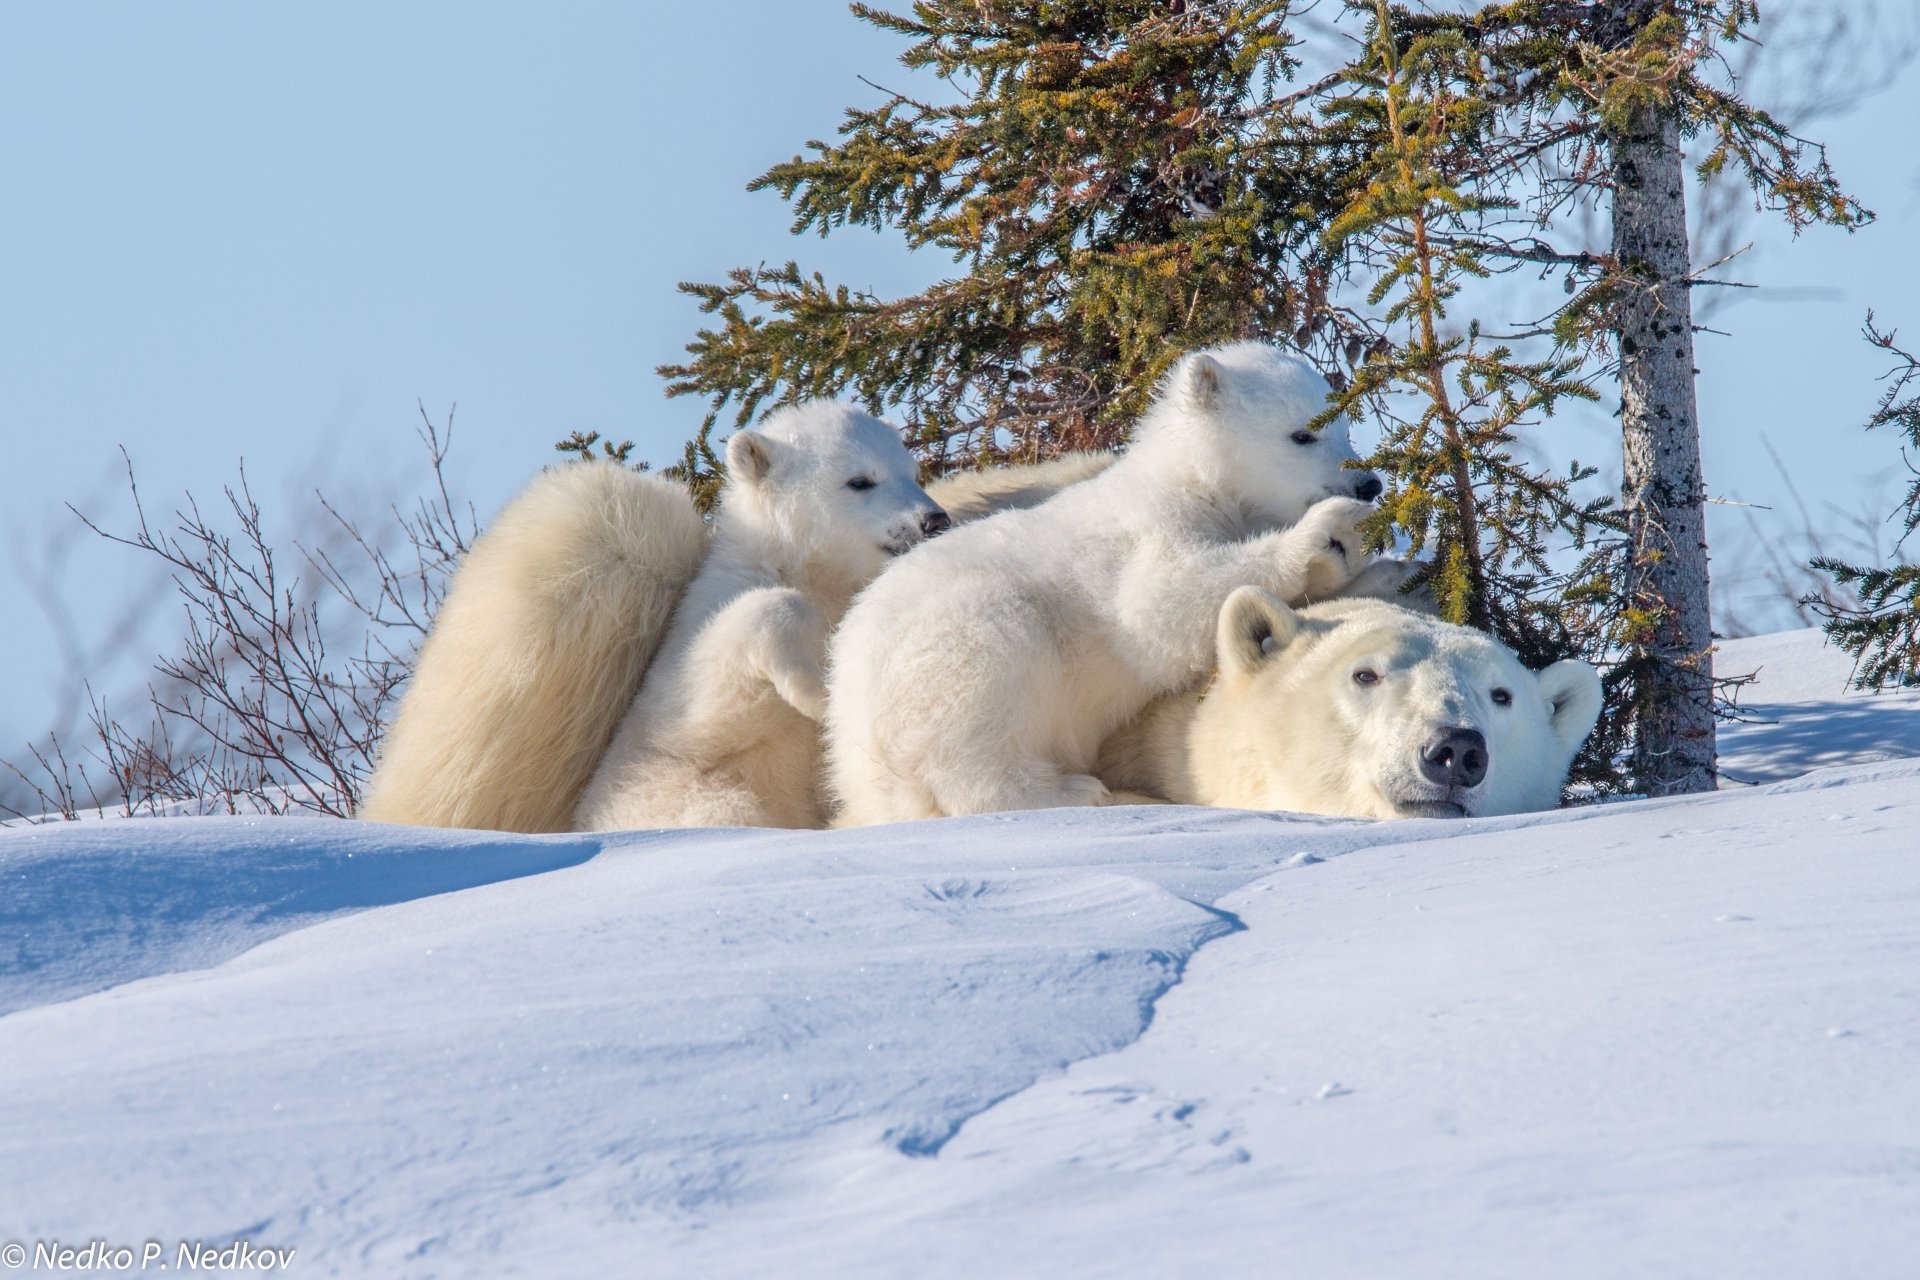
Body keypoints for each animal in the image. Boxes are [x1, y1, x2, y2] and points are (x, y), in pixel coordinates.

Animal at [572, 401, 950, 831]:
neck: (803, 567)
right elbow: (711, 697)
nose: (934, 520)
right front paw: (817, 694)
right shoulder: (679, 685)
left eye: (913, 473)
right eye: (860, 481)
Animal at [824, 341, 1388, 826]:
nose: (1368, 483)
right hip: (951, 652)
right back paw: (1072, 791)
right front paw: (1323, 530)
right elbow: (1161, 606)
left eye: (1343, 426)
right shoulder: (1147, 531)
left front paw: (1355, 556)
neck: (1198, 485)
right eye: (1302, 433)